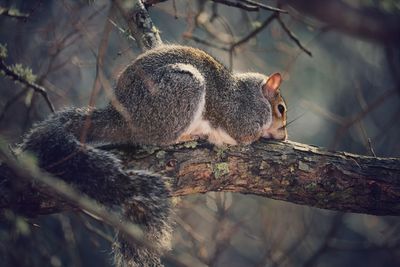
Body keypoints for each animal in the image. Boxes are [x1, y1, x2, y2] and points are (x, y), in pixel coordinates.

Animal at [19, 45, 288, 266]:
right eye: (281, 109)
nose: (284, 136)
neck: (251, 93)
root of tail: (122, 118)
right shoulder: (242, 115)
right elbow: (244, 134)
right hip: (181, 91)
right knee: (158, 138)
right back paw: (187, 136)